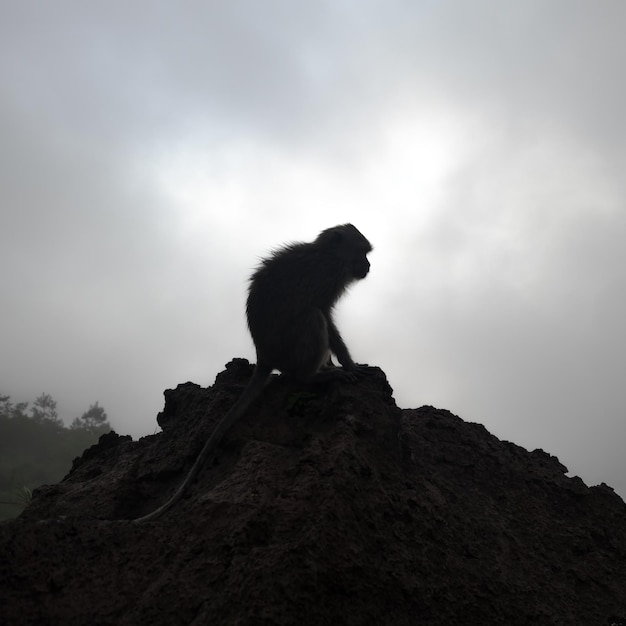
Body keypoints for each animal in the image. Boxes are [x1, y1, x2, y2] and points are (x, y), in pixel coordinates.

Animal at [133, 224, 370, 520]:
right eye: (362, 252)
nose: (369, 265)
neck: (328, 254)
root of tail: (264, 356)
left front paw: (338, 363)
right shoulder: (326, 278)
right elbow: (325, 314)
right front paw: (348, 365)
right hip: (288, 346)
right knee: (312, 317)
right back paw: (313, 376)